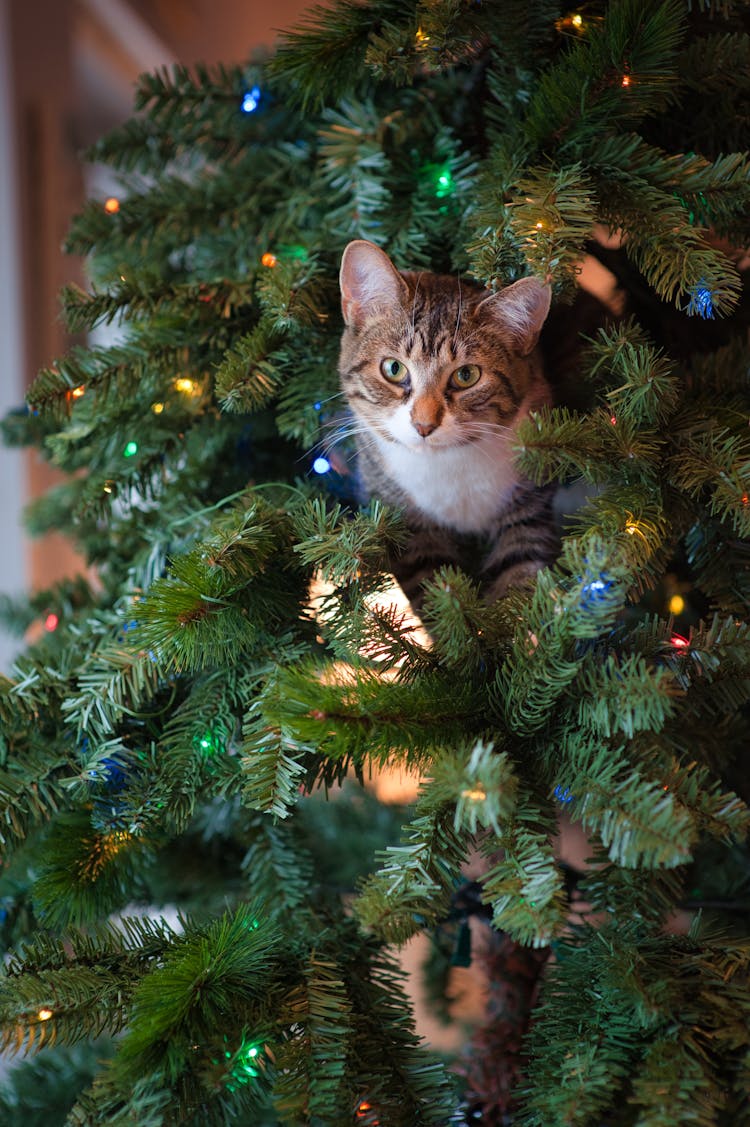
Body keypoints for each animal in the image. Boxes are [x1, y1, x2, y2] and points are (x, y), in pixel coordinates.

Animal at [336, 240, 559, 608]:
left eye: (466, 375)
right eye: (393, 369)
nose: (424, 424)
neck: (447, 464)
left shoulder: (529, 502)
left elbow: (520, 574)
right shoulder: (409, 527)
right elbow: (439, 592)